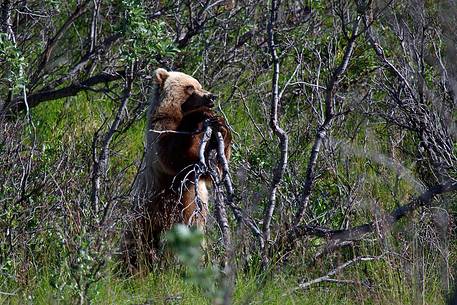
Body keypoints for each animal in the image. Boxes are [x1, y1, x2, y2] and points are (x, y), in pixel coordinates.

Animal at [121, 68, 230, 268]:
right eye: (190, 87)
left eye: (199, 85)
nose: (211, 96)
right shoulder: (159, 132)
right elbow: (171, 154)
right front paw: (199, 114)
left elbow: (214, 169)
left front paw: (221, 124)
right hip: (149, 216)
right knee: (135, 244)